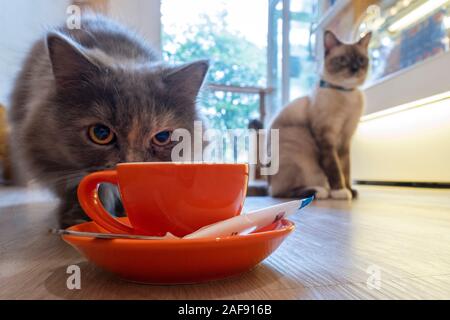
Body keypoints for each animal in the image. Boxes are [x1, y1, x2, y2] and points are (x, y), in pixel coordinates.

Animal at [268, 30, 370, 200]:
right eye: (343, 60)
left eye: (361, 60)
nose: (355, 68)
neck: (346, 93)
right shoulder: (326, 138)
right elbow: (335, 168)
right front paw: (341, 191)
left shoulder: (345, 140)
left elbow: (346, 169)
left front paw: (350, 190)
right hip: (298, 159)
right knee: (280, 193)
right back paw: (320, 191)